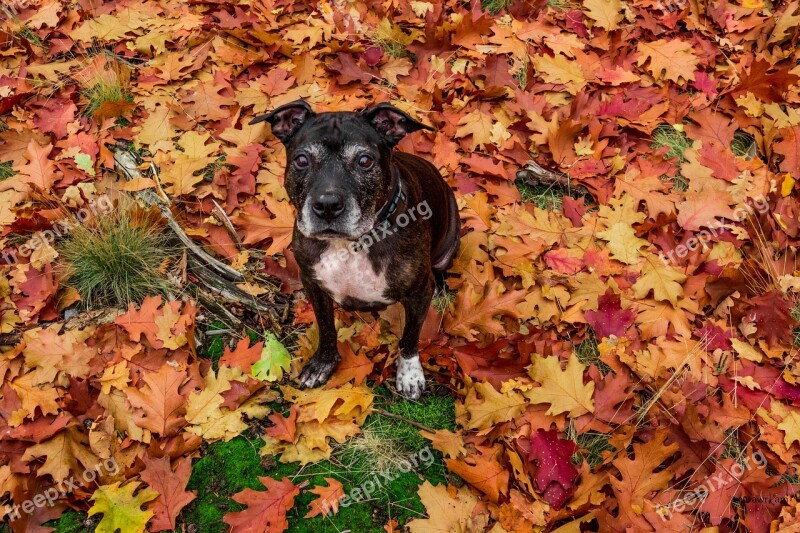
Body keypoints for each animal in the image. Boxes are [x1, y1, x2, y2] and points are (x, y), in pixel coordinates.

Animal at [250, 101, 462, 400]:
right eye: (302, 160)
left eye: (365, 161)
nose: (327, 205)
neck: (351, 244)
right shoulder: (313, 284)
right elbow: (326, 327)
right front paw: (323, 363)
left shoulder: (418, 294)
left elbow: (410, 337)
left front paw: (409, 375)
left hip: (449, 241)